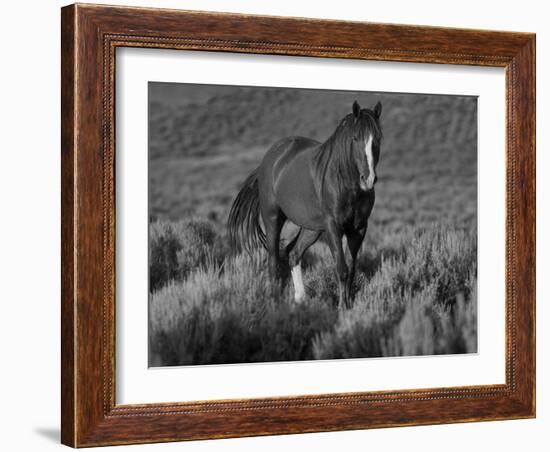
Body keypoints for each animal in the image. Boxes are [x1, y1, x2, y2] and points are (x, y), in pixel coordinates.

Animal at [229, 100, 384, 308]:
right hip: (273, 219)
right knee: (273, 261)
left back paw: (300, 299)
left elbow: (351, 269)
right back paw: (275, 301)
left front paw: (348, 305)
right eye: (356, 138)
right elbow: (342, 269)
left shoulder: (358, 229)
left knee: (293, 253)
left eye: (378, 139)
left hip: (312, 228)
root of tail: (269, 159)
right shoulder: (333, 227)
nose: (368, 179)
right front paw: (342, 307)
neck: (345, 183)